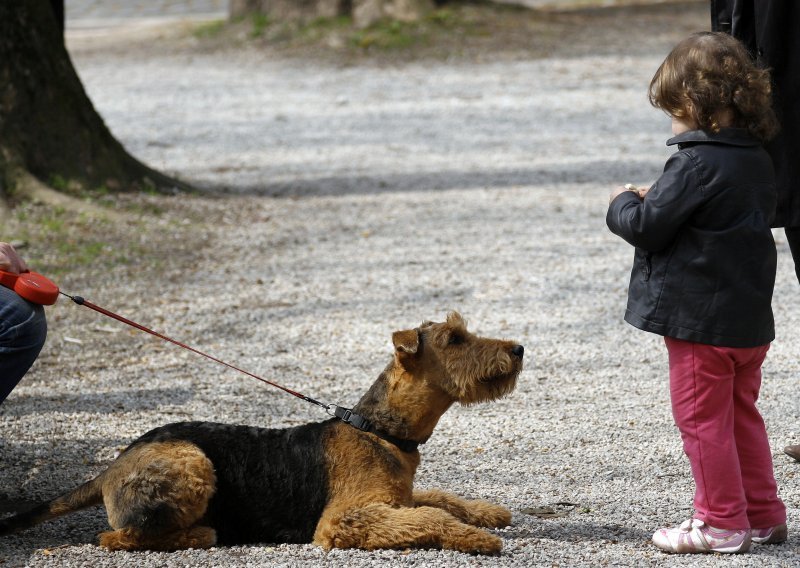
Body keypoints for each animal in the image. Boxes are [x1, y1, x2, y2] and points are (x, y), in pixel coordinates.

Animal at [0, 312, 524, 552]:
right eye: (454, 338)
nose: (518, 349)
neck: (379, 430)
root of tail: (112, 467)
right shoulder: (344, 519)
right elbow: (431, 516)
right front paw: (477, 538)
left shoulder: (396, 499)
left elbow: (438, 499)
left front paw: (488, 513)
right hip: (191, 460)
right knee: (119, 536)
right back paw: (202, 533)